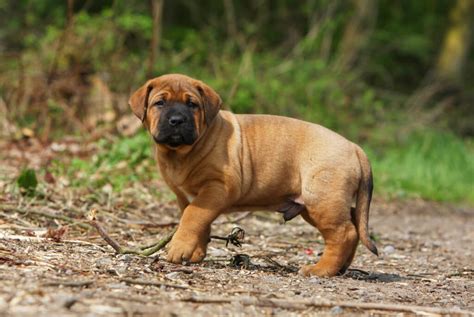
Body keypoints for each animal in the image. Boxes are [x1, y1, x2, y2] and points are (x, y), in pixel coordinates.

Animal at [129, 73, 378, 276]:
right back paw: (341, 267)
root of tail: (354, 147)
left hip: (321, 200)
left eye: (192, 105)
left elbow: (192, 217)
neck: (183, 152)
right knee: (354, 223)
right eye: (159, 103)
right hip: (320, 203)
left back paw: (321, 269)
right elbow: (199, 222)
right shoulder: (186, 196)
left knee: (344, 233)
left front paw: (179, 248)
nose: (177, 120)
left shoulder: (217, 187)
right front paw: (195, 252)